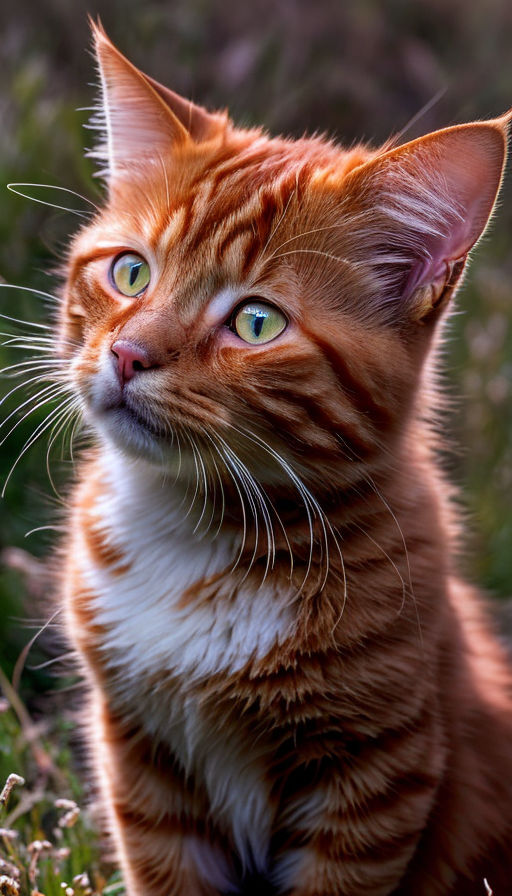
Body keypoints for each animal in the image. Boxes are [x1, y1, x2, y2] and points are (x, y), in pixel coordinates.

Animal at [57, 21, 512, 896]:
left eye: (257, 323)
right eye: (130, 271)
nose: (128, 354)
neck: (196, 538)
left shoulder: (373, 780)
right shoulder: (146, 762)